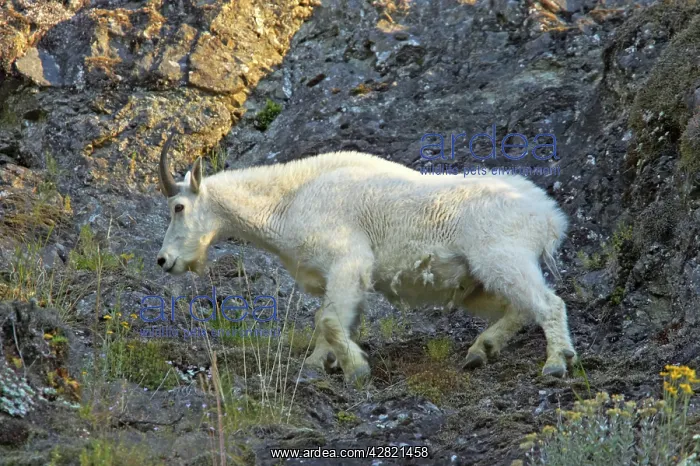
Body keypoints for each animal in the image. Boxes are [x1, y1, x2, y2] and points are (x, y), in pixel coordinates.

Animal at [156, 132, 577, 382]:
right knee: (519, 308)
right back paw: (480, 350)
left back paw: (556, 363)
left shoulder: (348, 261)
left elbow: (327, 318)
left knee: (548, 304)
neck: (290, 202)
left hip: (504, 258)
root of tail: (549, 215)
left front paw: (356, 369)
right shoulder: (338, 278)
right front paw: (318, 365)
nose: (164, 260)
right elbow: (333, 319)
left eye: (178, 207)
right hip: (479, 283)